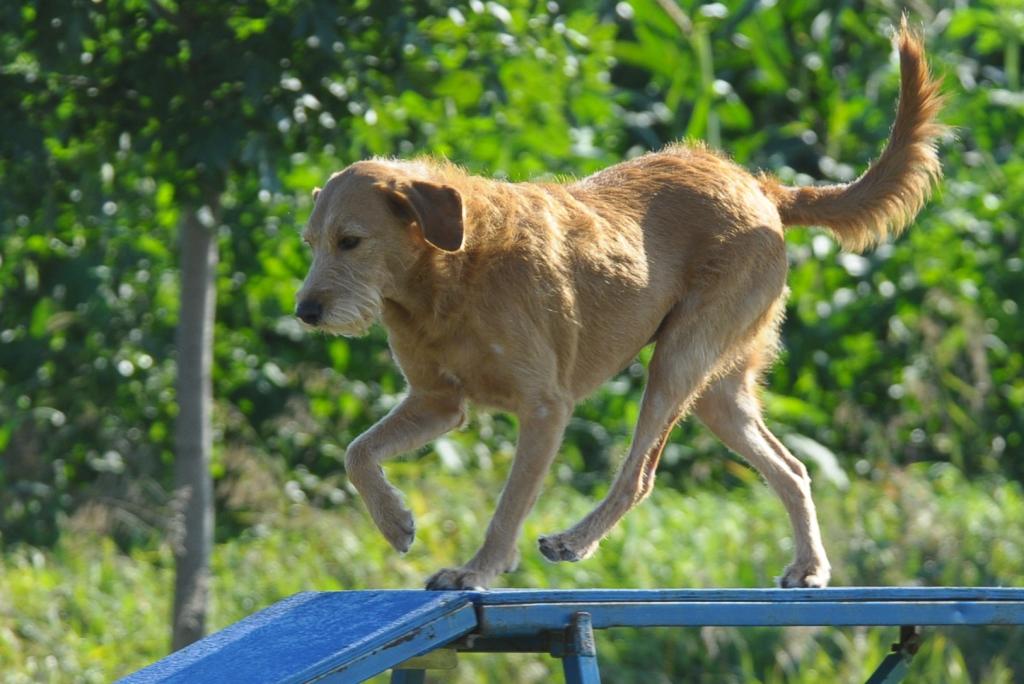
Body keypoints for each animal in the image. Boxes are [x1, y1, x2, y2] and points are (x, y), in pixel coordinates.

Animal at [296, 20, 942, 589]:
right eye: (310, 243)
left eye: (350, 241)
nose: (305, 311)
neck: (449, 273)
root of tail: (758, 186)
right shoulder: (437, 402)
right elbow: (357, 452)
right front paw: (395, 522)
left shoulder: (544, 408)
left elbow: (507, 506)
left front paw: (477, 570)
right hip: (719, 393)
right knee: (793, 469)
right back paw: (809, 566)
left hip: (676, 363)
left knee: (640, 476)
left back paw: (575, 540)